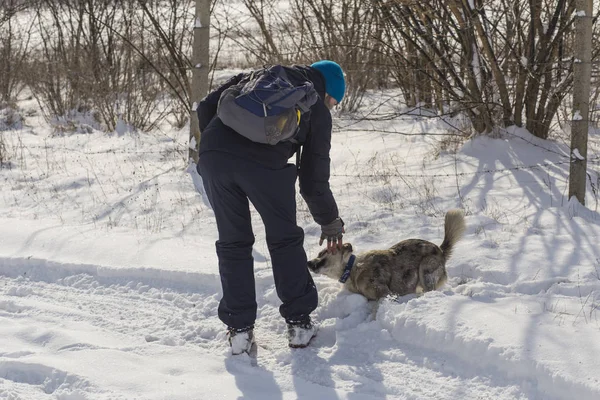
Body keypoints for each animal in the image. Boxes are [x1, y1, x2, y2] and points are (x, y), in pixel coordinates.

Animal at [308, 209, 466, 300]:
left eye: (323, 252)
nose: (308, 262)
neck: (352, 269)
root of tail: (440, 250)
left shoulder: (384, 293)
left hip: (425, 269)